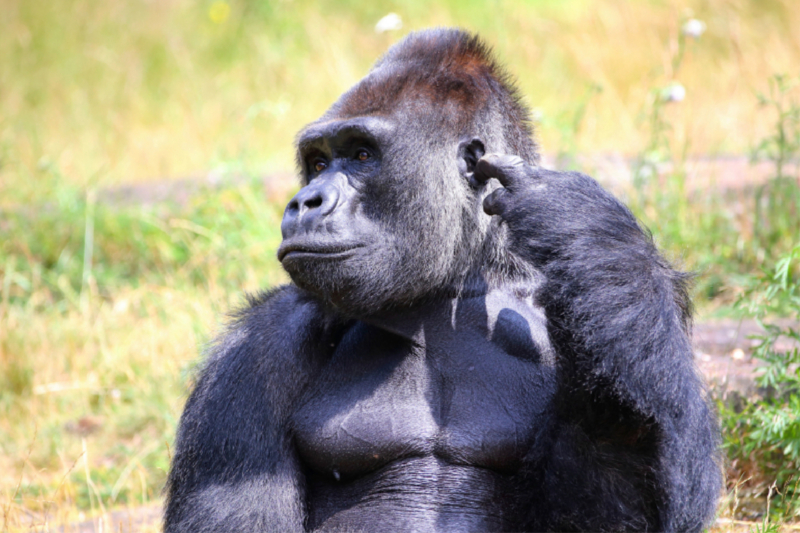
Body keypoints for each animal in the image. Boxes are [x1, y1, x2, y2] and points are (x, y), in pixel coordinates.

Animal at [166, 30, 720, 532]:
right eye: (318, 162)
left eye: (362, 155)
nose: (306, 202)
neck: (453, 282)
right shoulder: (255, 347)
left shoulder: (655, 300)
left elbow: (627, 459)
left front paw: (584, 233)